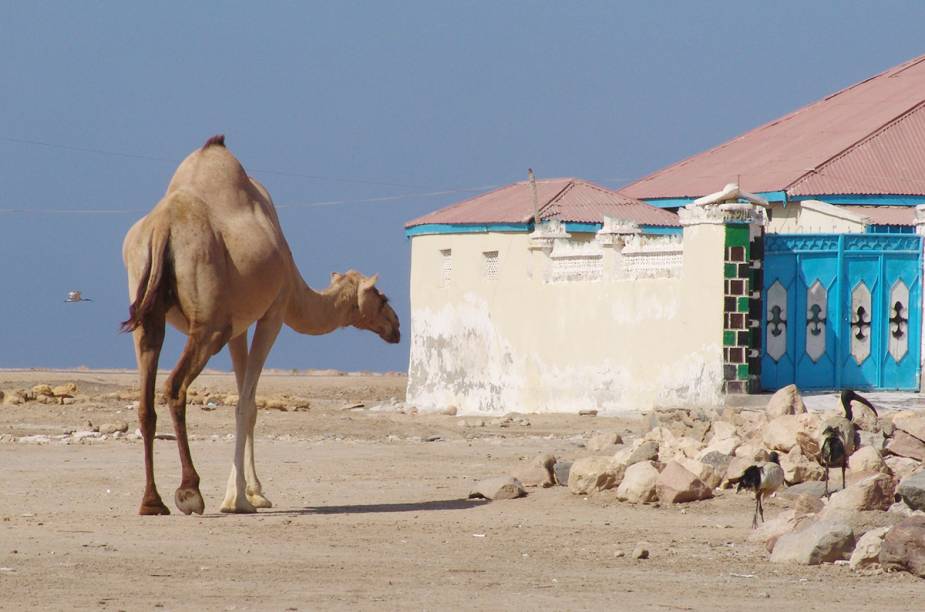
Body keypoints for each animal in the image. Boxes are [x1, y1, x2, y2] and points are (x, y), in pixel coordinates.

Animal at [121, 135, 398, 516]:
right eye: (382, 298)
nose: (396, 327)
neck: (295, 285)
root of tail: (164, 226)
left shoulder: (239, 325)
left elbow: (246, 402)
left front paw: (252, 492)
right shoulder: (272, 314)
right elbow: (246, 404)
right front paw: (238, 499)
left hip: (147, 312)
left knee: (145, 400)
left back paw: (152, 502)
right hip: (209, 323)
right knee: (175, 387)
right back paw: (190, 492)